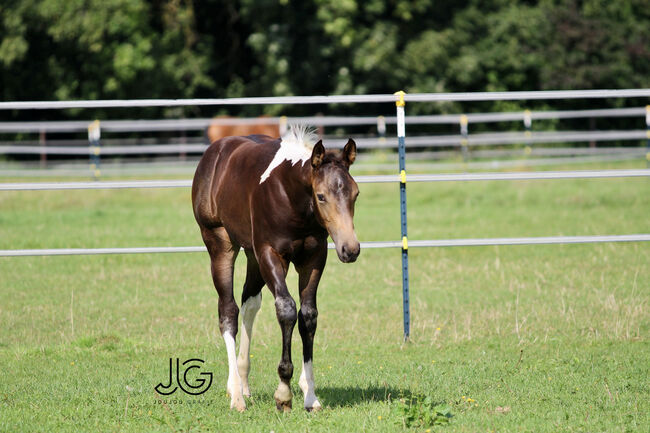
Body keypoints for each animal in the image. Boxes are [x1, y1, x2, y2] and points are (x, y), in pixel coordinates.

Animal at [192, 125, 360, 412]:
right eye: (321, 196)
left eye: (356, 194)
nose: (350, 249)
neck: (291, 196)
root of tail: (214, 151)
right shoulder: (270, 255)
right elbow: (287, 309)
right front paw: (283, 393)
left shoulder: (313, 258)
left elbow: (308, 315)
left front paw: (310, 395)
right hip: (219, 243)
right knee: (228, 310)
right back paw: (236, 395)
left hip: (252, 254)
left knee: (249, 303)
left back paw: (243, 384)